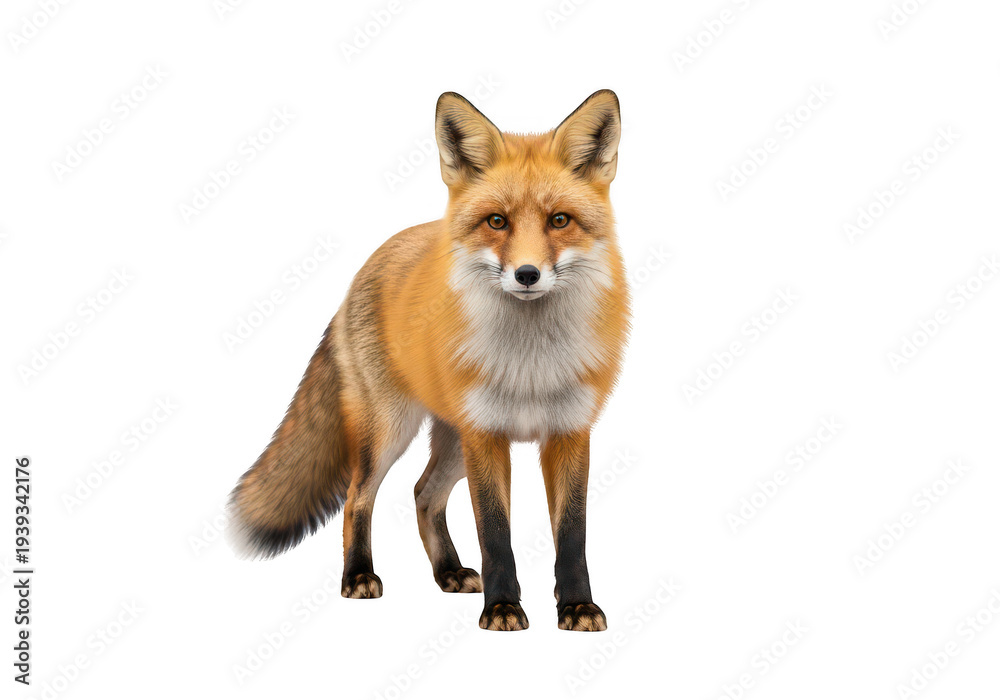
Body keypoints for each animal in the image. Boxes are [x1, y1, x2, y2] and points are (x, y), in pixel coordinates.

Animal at [227, 89, 630, 631]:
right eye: (497, 221)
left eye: (559, 220)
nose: (527, 274)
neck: (530, 365)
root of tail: (375, 258)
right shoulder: (486, 434)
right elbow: (495, 533)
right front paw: (503, 608)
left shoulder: (570, 431)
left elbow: (572, 535)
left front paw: (576, 606)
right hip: (390, 430)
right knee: (358, 498)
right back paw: (358, 576)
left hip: (452, 443)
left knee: (423, 493)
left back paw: (448, 571)